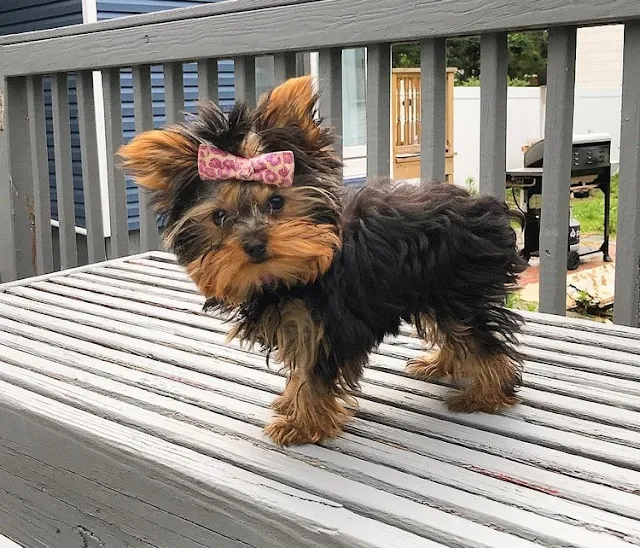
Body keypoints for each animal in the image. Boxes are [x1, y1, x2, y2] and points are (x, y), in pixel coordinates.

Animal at [119, 75, 524, 448]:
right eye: (219, 217)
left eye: (276, 202)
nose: (254, 244)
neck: (292, 275)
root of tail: (482, 206)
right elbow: (301, 369)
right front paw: (291, 404)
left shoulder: (328, 322)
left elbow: (312, 372)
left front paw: (301, 423)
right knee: (457, 331)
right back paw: (443, 364)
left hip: (456, 286)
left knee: (477, 336)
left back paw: (486, 393)